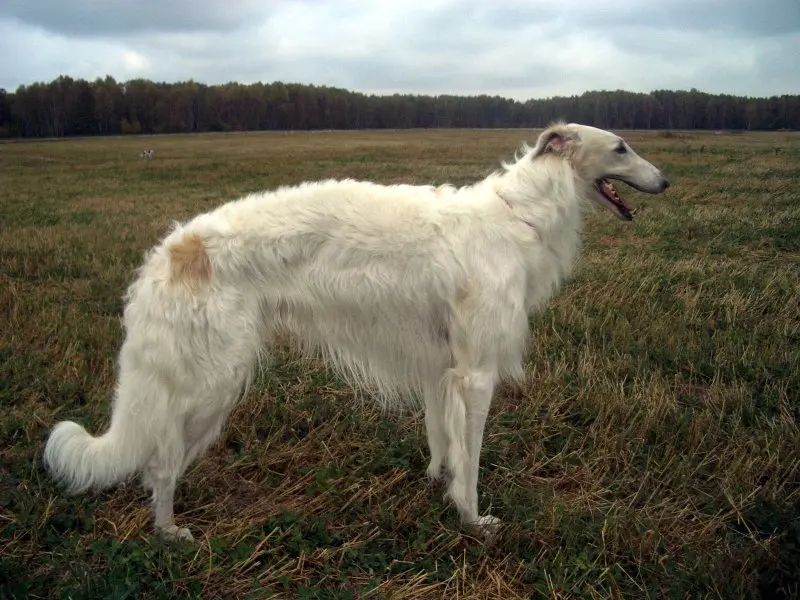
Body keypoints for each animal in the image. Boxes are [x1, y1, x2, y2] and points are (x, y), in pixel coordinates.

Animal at [43, 123, 668, 544]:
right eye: (621, 147)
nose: (665, 180)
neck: (517, 216)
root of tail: (171, 252)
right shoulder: (476, 374)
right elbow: (471, 460)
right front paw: (473, 520)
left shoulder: (440, 367)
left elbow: (442, 443)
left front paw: (436, 484)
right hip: (210, 383)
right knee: (160, 465)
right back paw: (170, 532)